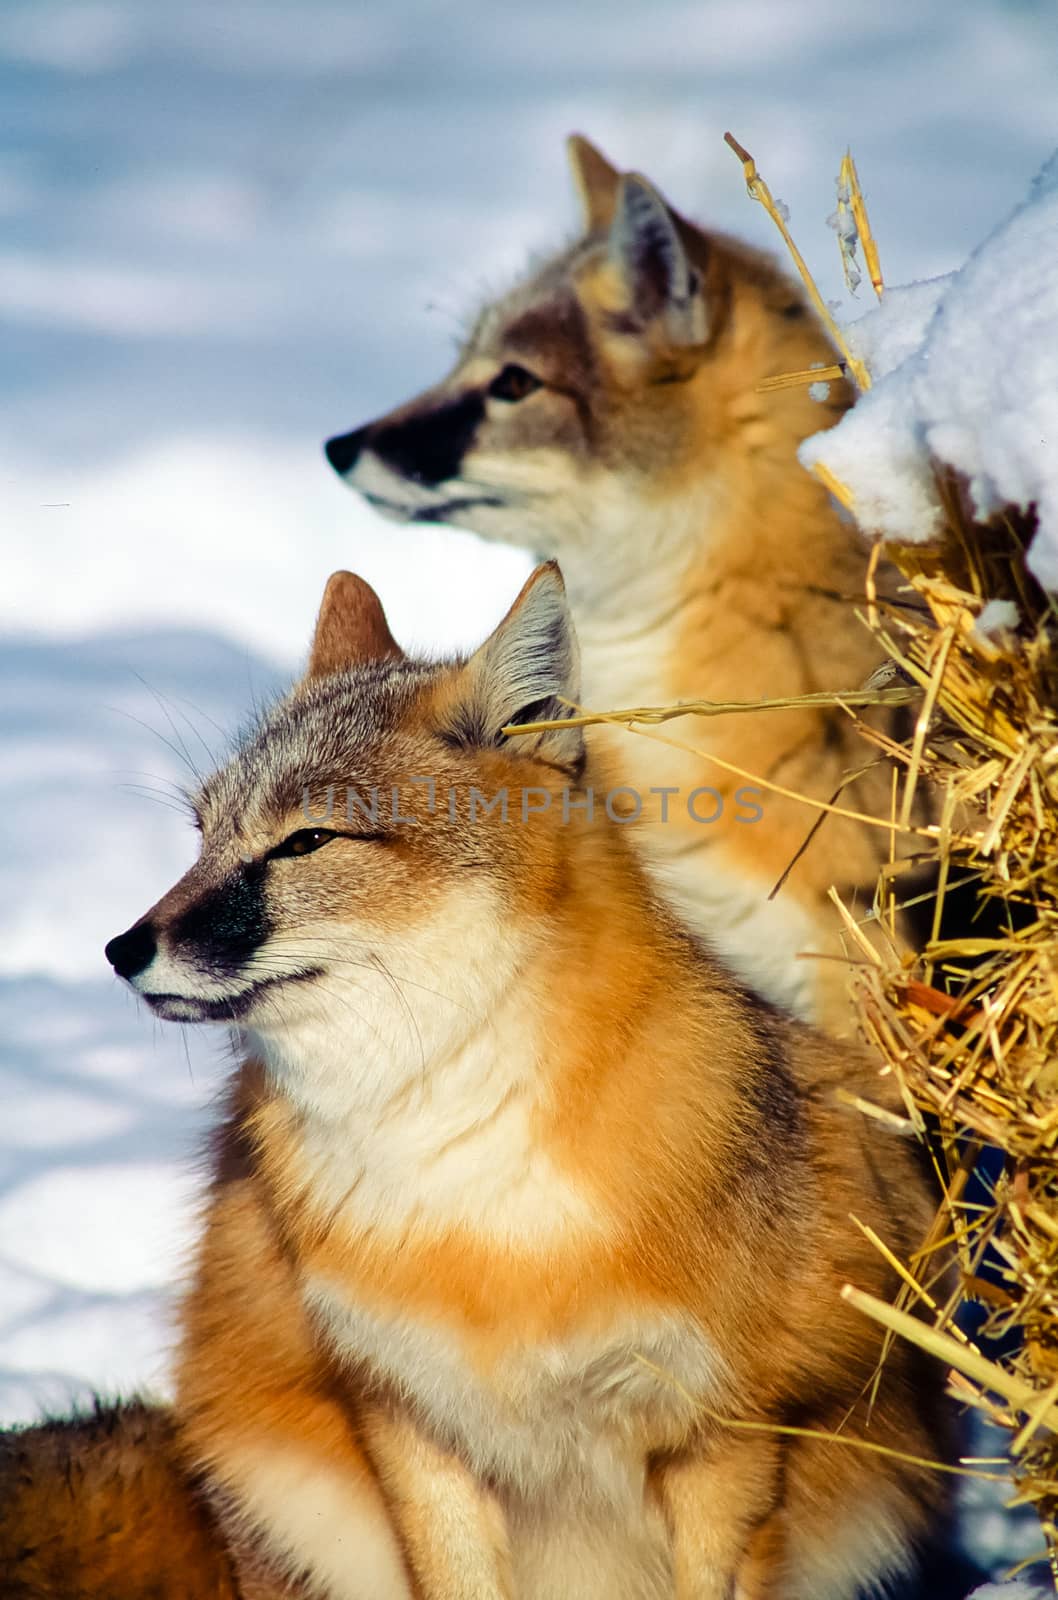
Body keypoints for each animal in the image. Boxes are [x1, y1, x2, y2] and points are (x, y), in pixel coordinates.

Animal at [4, 569, 947, 1593]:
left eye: (305, 843)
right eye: (203, 835)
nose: (120, 949)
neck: (468, 1179)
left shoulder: (725, 1440)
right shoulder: (412, 1422)